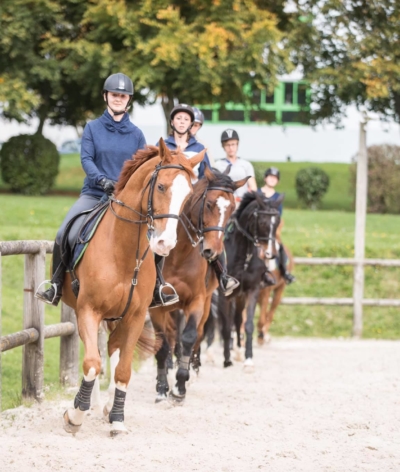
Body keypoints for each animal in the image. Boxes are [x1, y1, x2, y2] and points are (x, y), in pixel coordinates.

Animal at [61, 139, 205, 436]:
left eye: (187, 196)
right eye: (161, 187)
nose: (164, 244)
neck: (123, 251)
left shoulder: (136, 316)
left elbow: (123, 370)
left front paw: (117, 418)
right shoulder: (88, 310)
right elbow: (91, 363)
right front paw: (75, 414)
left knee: (113, 348)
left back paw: (105, 406)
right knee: (97, 353)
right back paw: (91, 404)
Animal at [216, 192, 284, 368]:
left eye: (277, 222)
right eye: (262, 222)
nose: (270, 254)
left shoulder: (252, 291)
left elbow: (247, 325)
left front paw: (248, 359)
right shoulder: (224, 295)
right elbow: (226, 327)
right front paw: (227, 359)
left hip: (239, 297)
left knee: (238, 319)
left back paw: (238, 351)